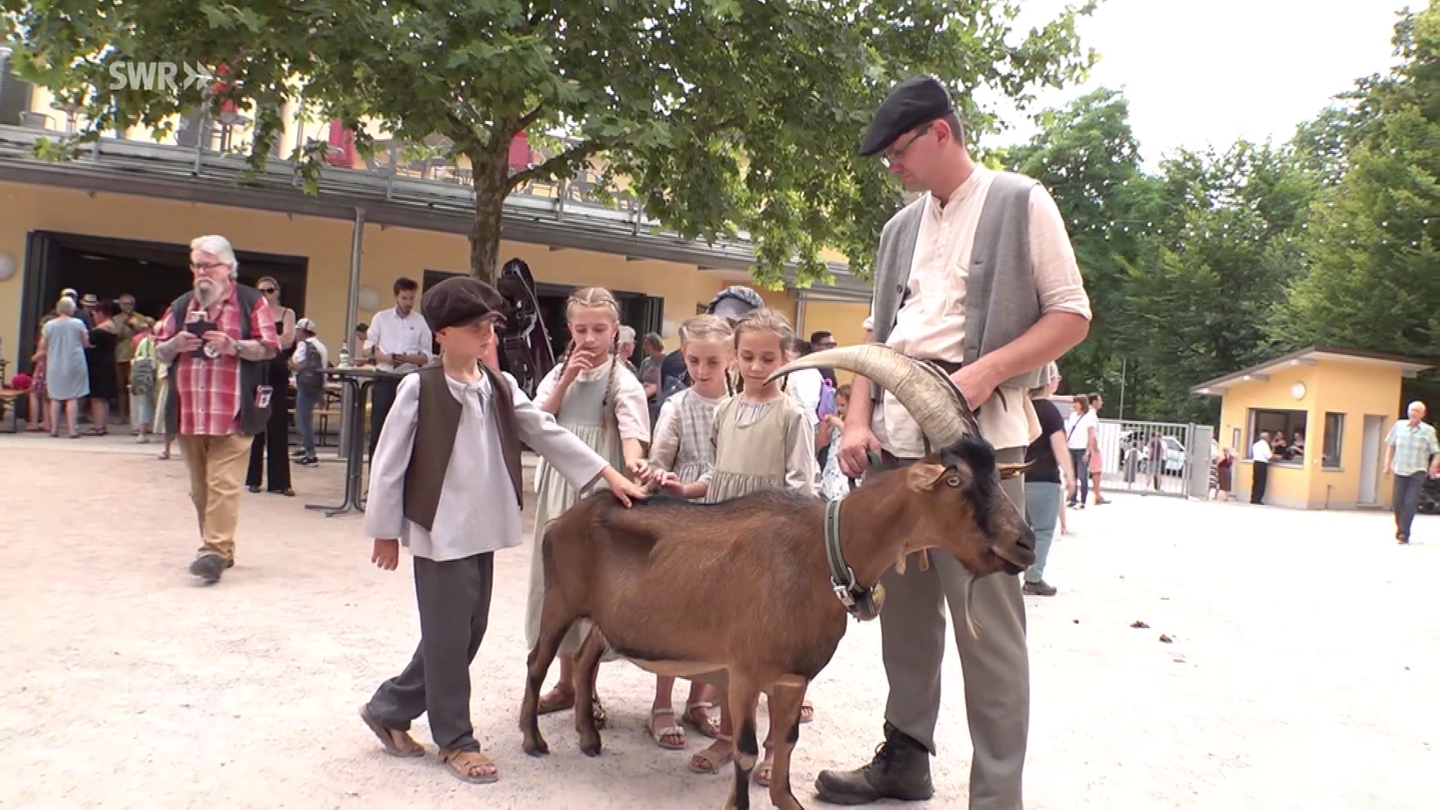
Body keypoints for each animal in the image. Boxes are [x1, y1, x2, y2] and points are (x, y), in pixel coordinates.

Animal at [519, 345, 1037, 810]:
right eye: (954, 479)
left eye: (995, 474)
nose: (1025, 544)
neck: (823, 552)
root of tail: (566, 518)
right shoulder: (746, 671)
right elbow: (747, 750)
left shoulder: (793, 679)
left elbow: (785, 742)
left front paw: (788, 801)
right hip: (561, 600)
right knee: (539, 659)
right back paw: (533, 740)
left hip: (604, 618)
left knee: (585, 658)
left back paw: (589, 739)